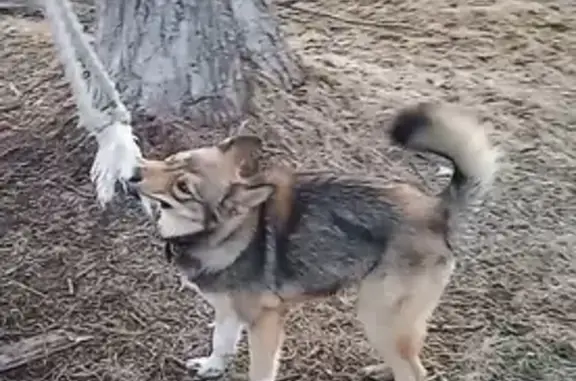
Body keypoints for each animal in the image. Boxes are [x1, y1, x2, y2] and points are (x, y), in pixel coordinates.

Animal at [127, 101, 500, 380]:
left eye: (183, 188)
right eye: (173, 159)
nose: (132, 173)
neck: (230, 231)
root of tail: (436, 209)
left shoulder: (266, 322)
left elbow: (259, 370)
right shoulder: (228, 310)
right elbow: (221, 343)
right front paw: (212, 367)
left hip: (377, 313)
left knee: (414, 371)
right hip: (389, 320)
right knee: (409, 358)